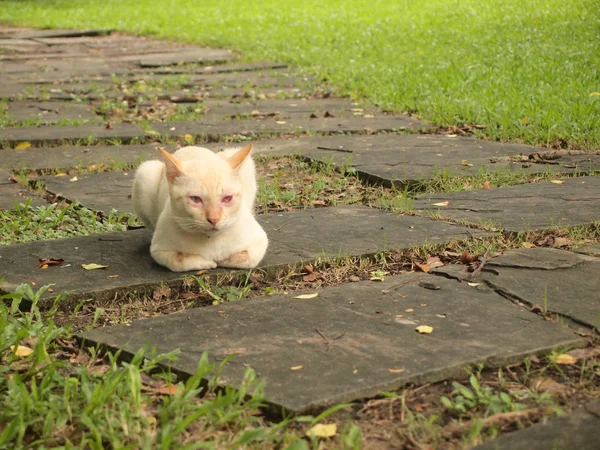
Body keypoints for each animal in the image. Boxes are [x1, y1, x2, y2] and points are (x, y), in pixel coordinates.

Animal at [136, 144, 270, 270]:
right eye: (195, 199)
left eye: (227, 198)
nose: (214, 220)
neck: (211, 240)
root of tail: (191, 146)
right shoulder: (159, 250)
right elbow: (180, 260)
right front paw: (208, 263)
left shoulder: (260, 241)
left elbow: (245, 258)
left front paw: (222, 260)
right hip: (145, 172)